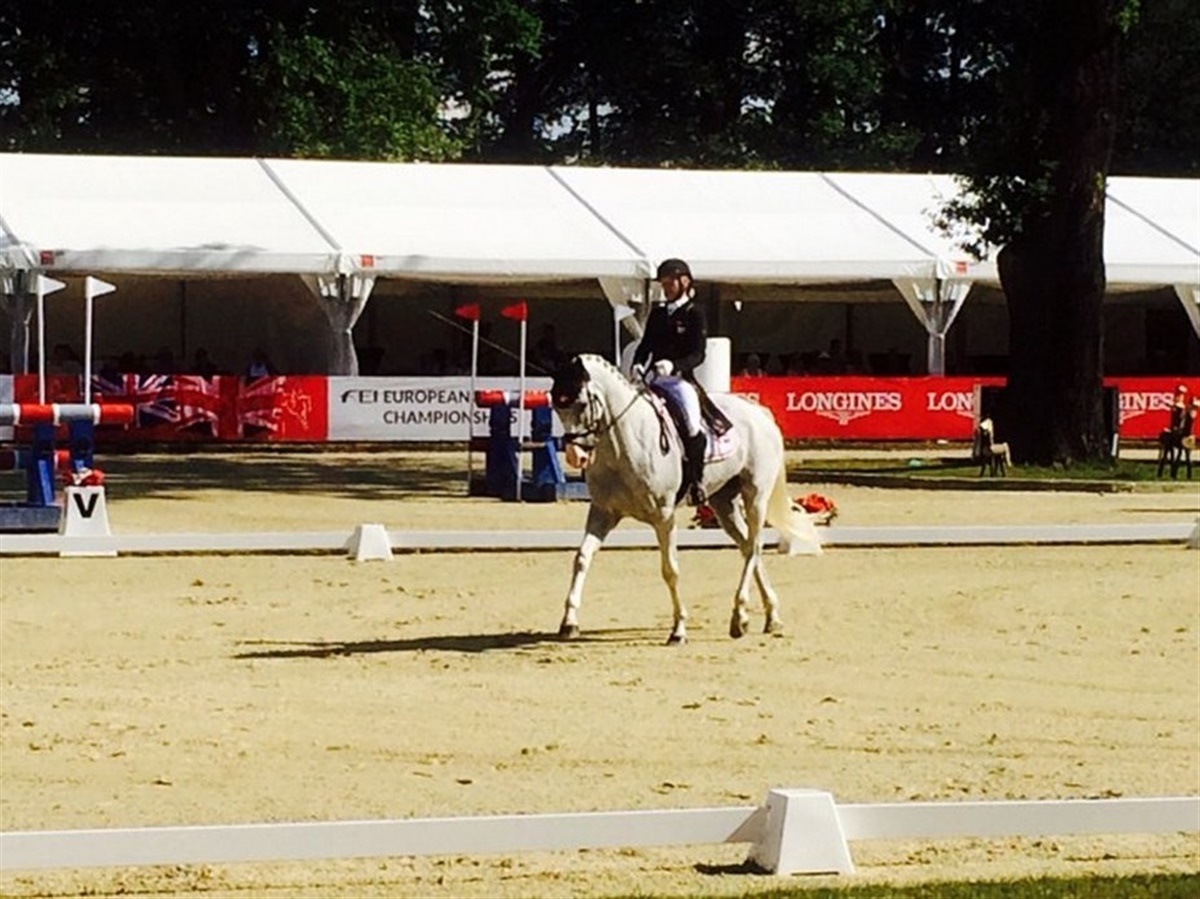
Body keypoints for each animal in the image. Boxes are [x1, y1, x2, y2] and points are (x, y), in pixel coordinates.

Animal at [549, 353, 821, 645]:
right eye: (556, 405)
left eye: (581, 402)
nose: (575, 456)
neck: (625, 442)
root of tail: (758, 412)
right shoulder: (603, 512)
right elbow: (581, 558)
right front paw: (569, 623)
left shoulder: (664, 517)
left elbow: (670, 570)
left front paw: (678, 629)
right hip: (723, 504)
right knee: (749, 546)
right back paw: (768, 616)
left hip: (755, 496)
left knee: (754, 547)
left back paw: (739, 617)